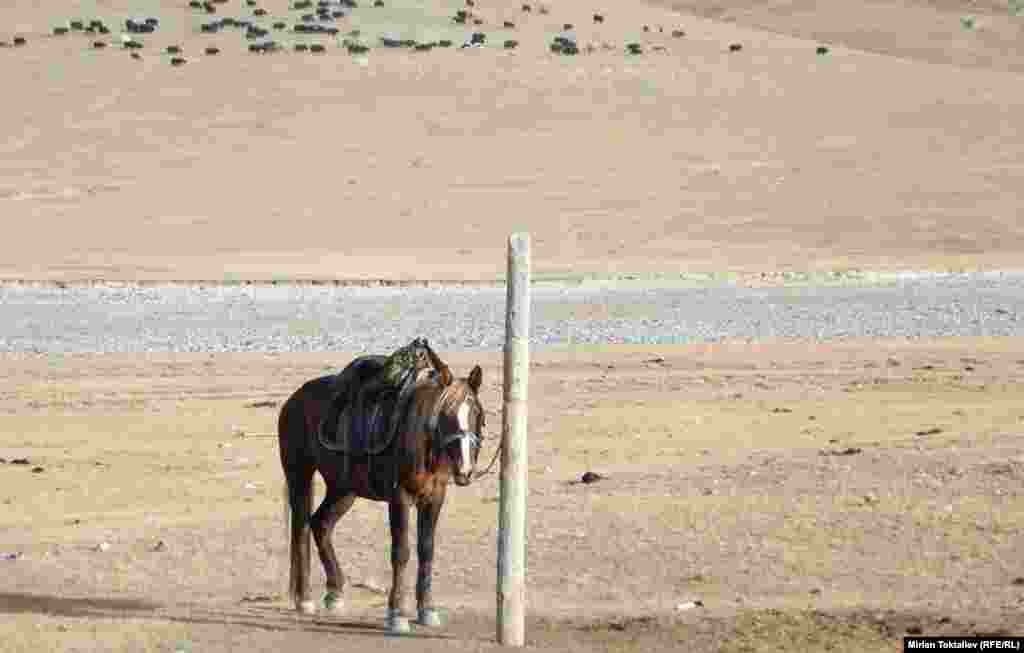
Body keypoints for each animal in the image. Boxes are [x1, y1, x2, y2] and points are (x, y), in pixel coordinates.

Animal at [278, 358, 485, 634]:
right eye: (445, 415)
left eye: (477, 414)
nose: (465, 470)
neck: (421, 440)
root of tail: (293, 399)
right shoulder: (400, 498)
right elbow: (401, 552)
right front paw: (397, 613)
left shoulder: (434, 499)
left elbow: (426, 550)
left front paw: (427, 610)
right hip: (299, 476)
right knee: (300, 529)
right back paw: (305, 599)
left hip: (343, 489)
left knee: (321, 524)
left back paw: (335, 593)